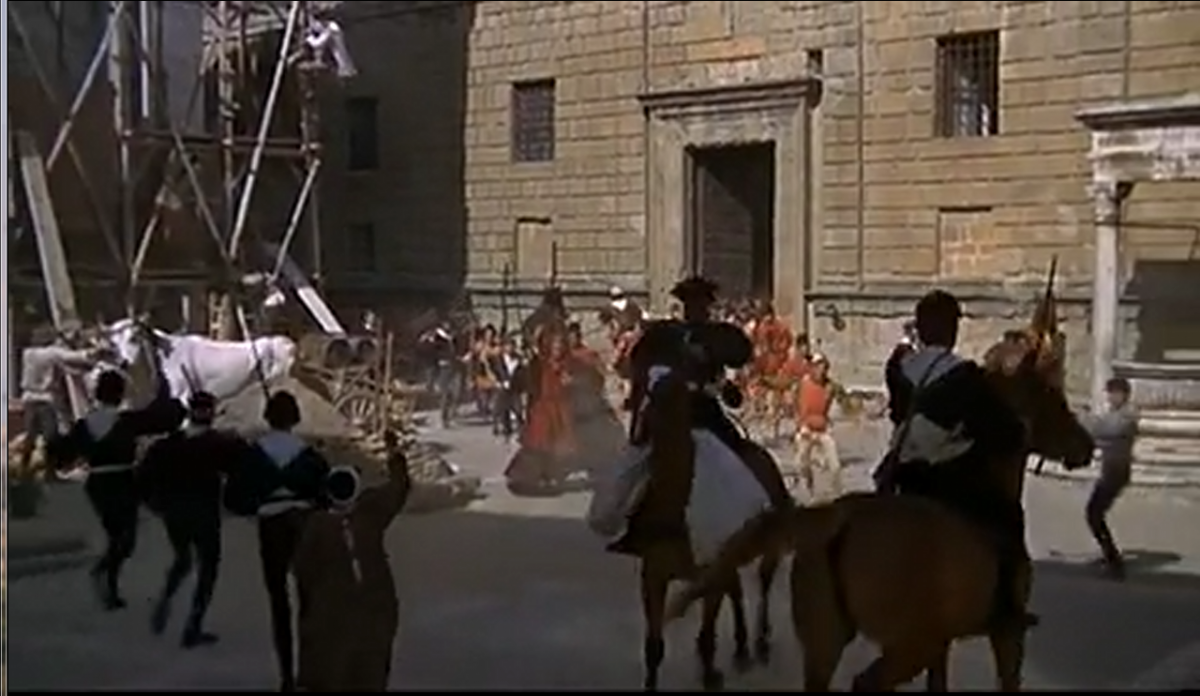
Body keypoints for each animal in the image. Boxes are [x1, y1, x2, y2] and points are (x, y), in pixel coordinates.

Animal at [632, 367, 790, 692]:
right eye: (645, 388)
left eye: (674, 391)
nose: (644, 431)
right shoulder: (653, 575)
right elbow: (654, 645)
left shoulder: (713, 568)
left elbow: (706, 629)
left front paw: (709, 673)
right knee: (737, 588)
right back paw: (742, 648)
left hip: (768, 544)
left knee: (763, 582)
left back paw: (760, 642)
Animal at [664, 332, 1094, 690]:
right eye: (1051, 395)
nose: (1086, 446)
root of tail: (836, 520)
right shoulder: (1006, 636)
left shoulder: (941, 641)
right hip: (907, 647)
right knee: (865, 683)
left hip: (827, 641)